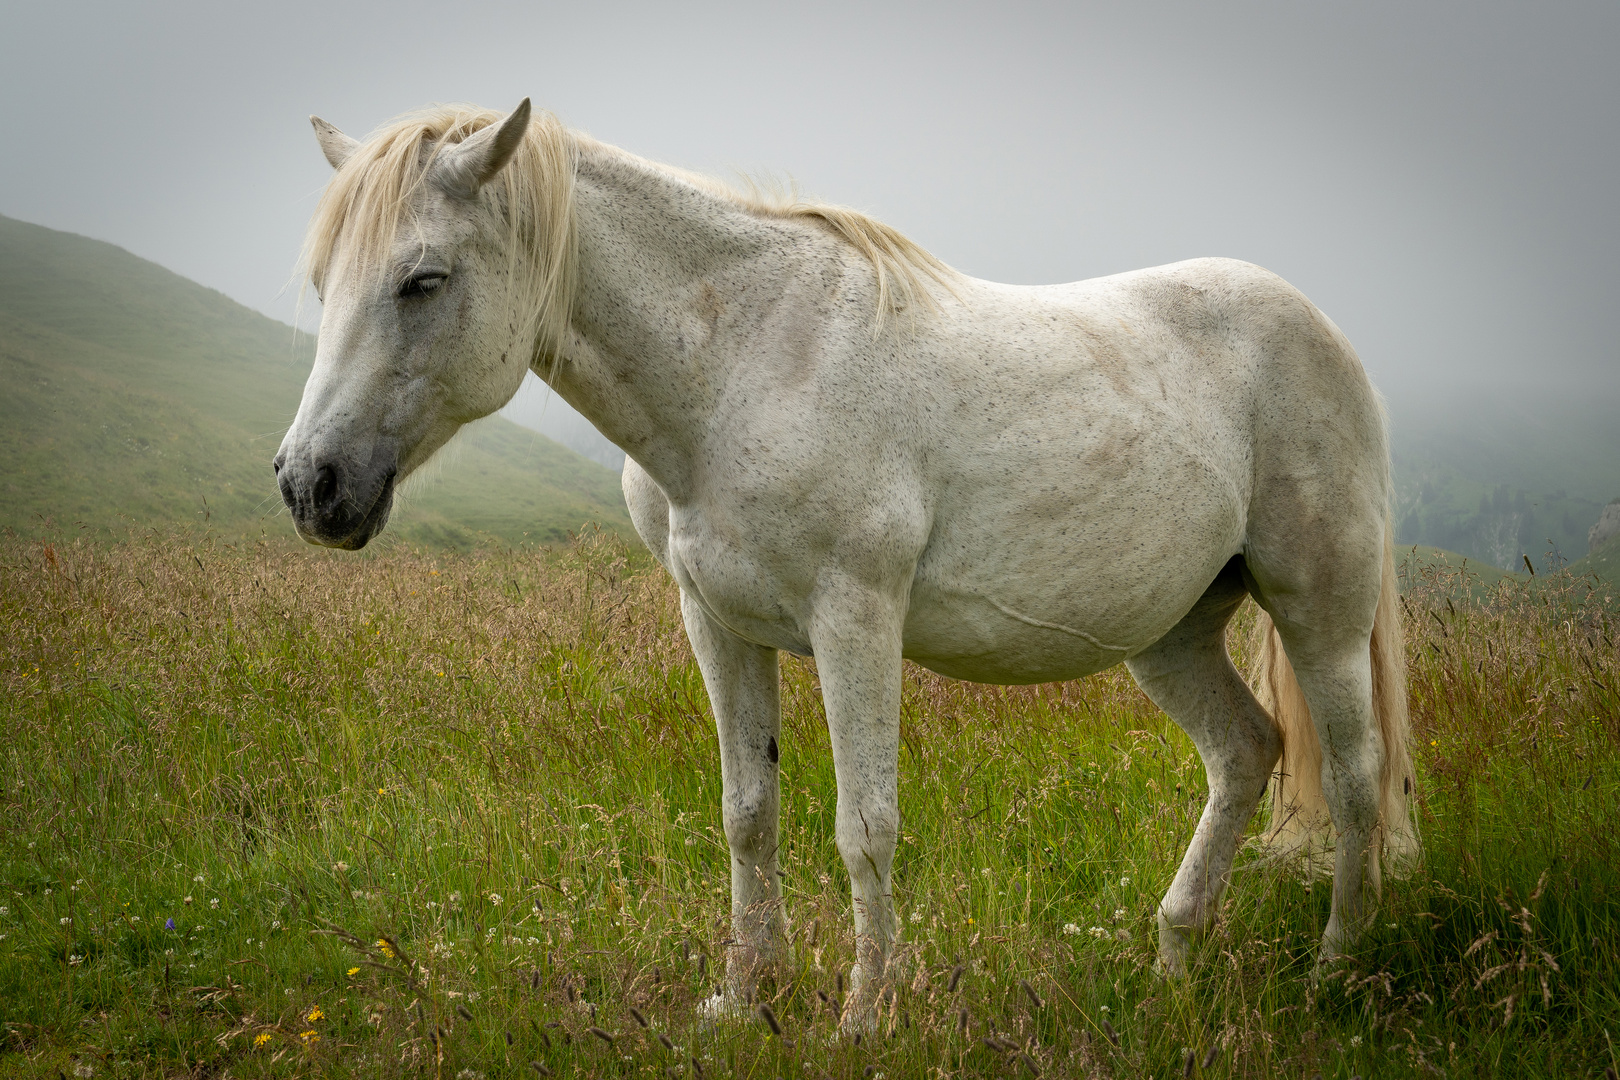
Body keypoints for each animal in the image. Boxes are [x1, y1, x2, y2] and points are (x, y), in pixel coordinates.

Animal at [278, 101, 1419, 1023]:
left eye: (424, 280)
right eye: (326, 279)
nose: (310, 485)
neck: (740, 368)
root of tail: (1323, 330)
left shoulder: (855, 619)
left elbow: (865, 827)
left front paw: (865, 1017)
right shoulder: (717, 622)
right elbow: (748, 815)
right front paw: (744, 998)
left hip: (1319, 608)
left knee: (1354, 774)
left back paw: (1335, 970)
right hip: (1171, 633)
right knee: (1246, 751)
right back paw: (1173, 958)